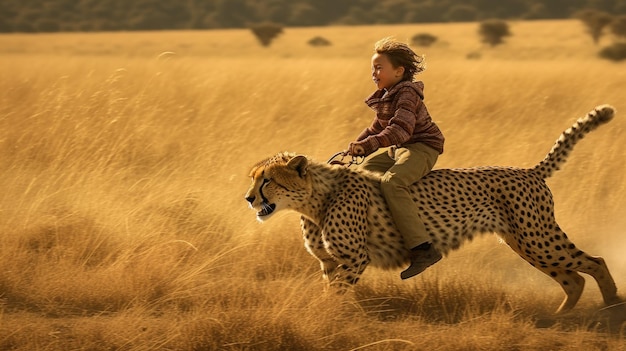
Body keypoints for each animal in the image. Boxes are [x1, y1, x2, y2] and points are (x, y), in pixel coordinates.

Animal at [245, 104, 620, 314]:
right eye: (254, 179)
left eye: (267, 181)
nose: (249, 199)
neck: (314, 199)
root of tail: (528, 171)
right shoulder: (330, 262)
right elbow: (331, 291)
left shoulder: (354, 259)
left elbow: (336, 295)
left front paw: (326, 316)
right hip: (524, 242)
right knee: (572, 278)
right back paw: (562, 315)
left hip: (537, 238)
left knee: (595, 262)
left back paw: (613, 306)